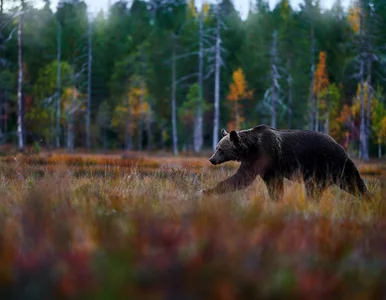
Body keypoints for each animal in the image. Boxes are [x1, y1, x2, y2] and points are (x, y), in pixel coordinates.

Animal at [202, 125, 370, 202]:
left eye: (221, 149)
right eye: (216, 148)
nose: (211, 159)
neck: (251, 148)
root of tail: (340, 145)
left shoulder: (267, 156)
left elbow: (245, 179)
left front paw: (205, 191)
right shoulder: (254, 163)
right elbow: (244, 179)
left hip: (332, 163)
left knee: (352, 181)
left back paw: (368, 198)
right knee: (316, 188)